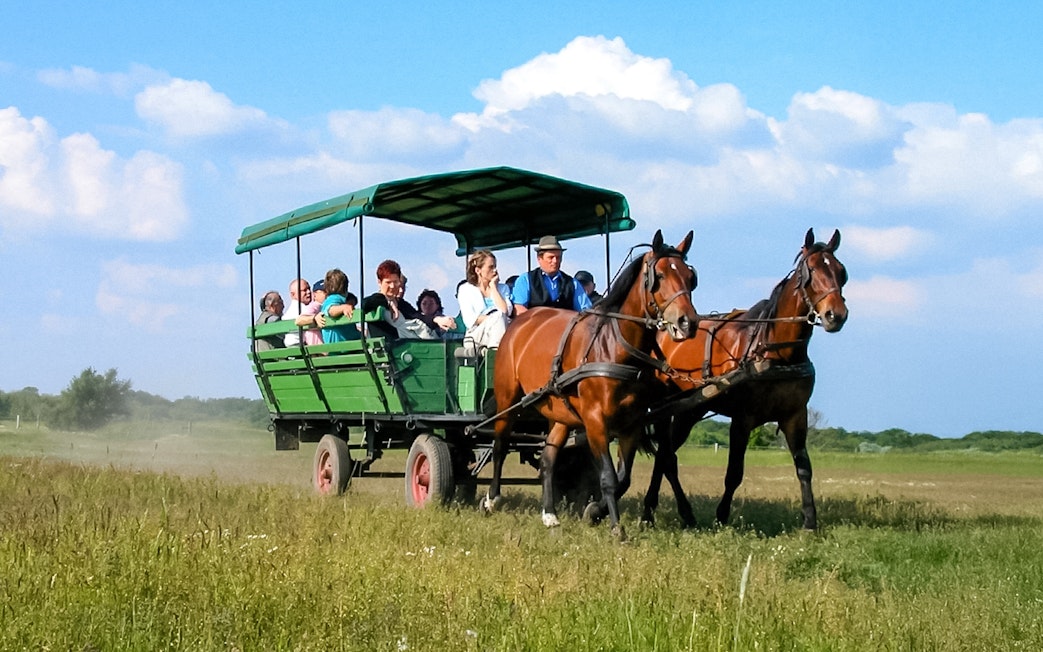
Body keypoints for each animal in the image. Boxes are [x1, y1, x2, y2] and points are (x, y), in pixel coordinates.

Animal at [481, 230, 698, 538]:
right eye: (659, 275)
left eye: (690, 277)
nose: (687, 322)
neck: (614, 347)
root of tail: (522, 322)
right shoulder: (595, 421)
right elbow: (608, 476)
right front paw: (616, 528)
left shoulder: (632, 425)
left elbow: (623, 478)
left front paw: (595, 511)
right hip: (507, 398)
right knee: (500, 445)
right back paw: (492, 499)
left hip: (561, 413)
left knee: (548, 459)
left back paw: (550, 514)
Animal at [644, 228, 848, 530]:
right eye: (810, 271)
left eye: (841, 271)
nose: (836, 315)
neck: (776, 351)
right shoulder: (742, 419)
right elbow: (734, 473)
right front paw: (721, 515)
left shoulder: (795, 416)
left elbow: (804, 468)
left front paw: (810, 520)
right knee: (666, 456)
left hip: (690, 410)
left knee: (664, 455)